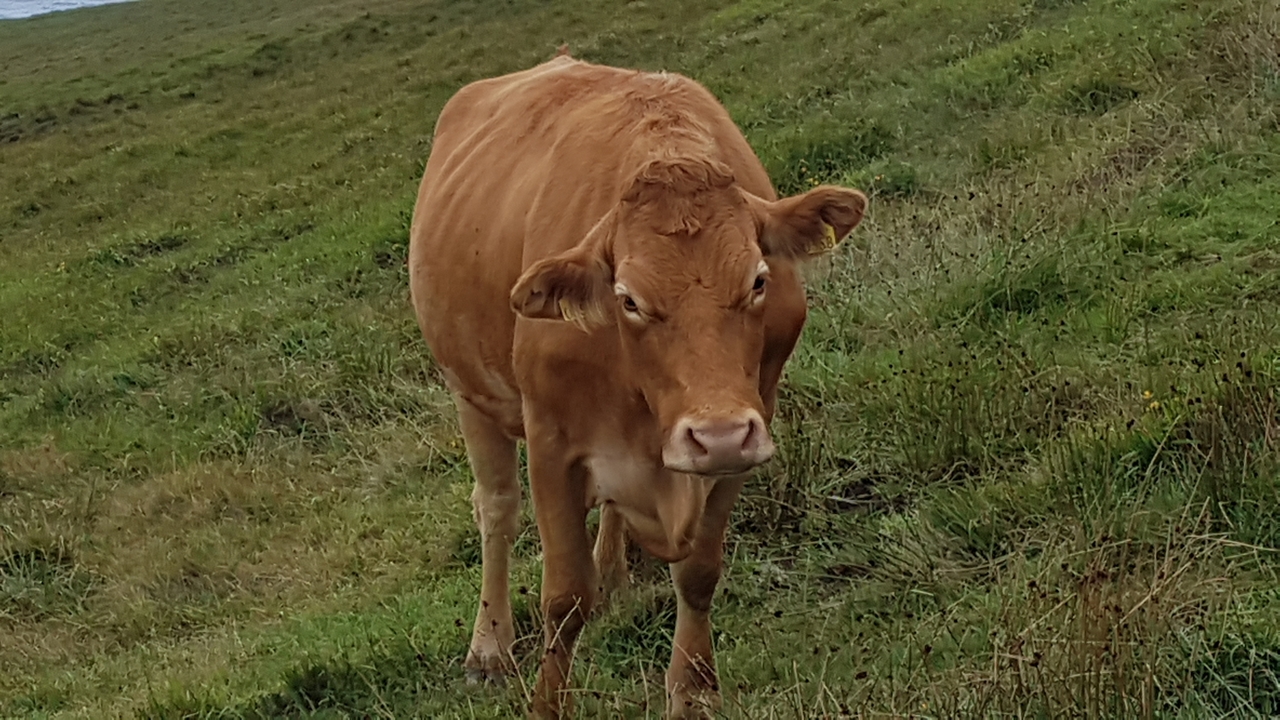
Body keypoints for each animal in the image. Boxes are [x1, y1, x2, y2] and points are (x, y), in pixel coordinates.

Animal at [409, 49, 866, 719]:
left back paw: (613, 580)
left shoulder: (752, 424)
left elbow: (698, 573)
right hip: (470, 392)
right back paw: (489, 647)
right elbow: (563, 598)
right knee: (496, 510)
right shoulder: (551, 443)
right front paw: (546, 702)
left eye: (759, 280)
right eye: (628, 298)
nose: (717, 434)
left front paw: (693, 691)